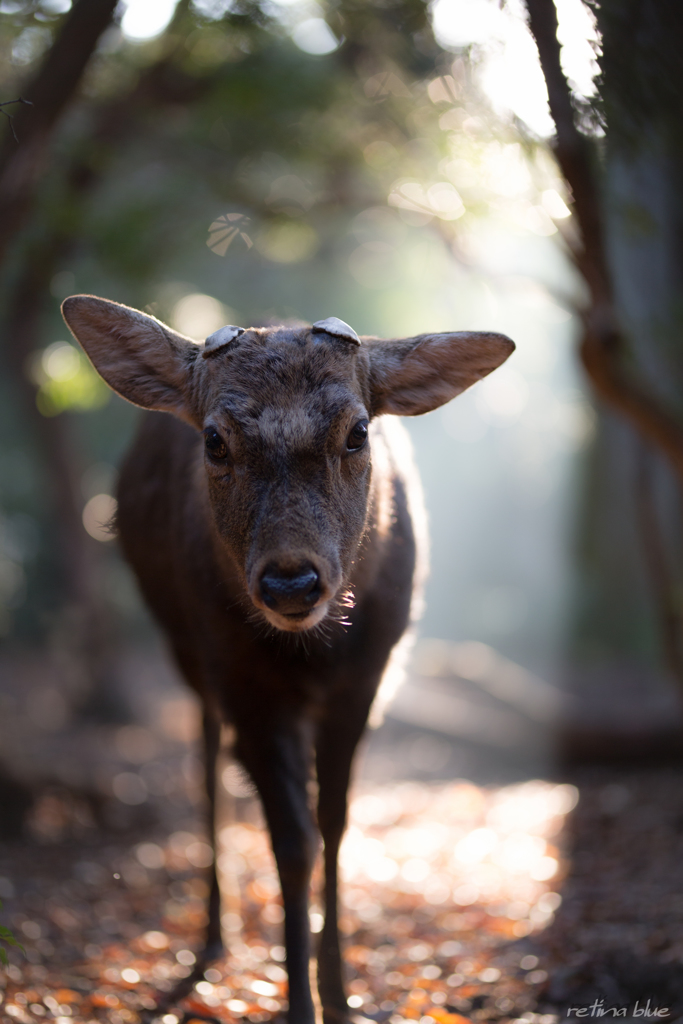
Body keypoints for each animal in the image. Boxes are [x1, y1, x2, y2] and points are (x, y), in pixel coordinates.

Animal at [61, 296, 516, 1024]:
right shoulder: (245, 683)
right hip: (189, 653)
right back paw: (214, 933)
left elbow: (334, 823)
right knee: (207, 767)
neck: (314, 653)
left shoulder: (367, 678)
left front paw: (340, 993)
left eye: (358, 432)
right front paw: (302, 1000)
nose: (292, 583)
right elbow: (291, 839)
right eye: (215, 440)